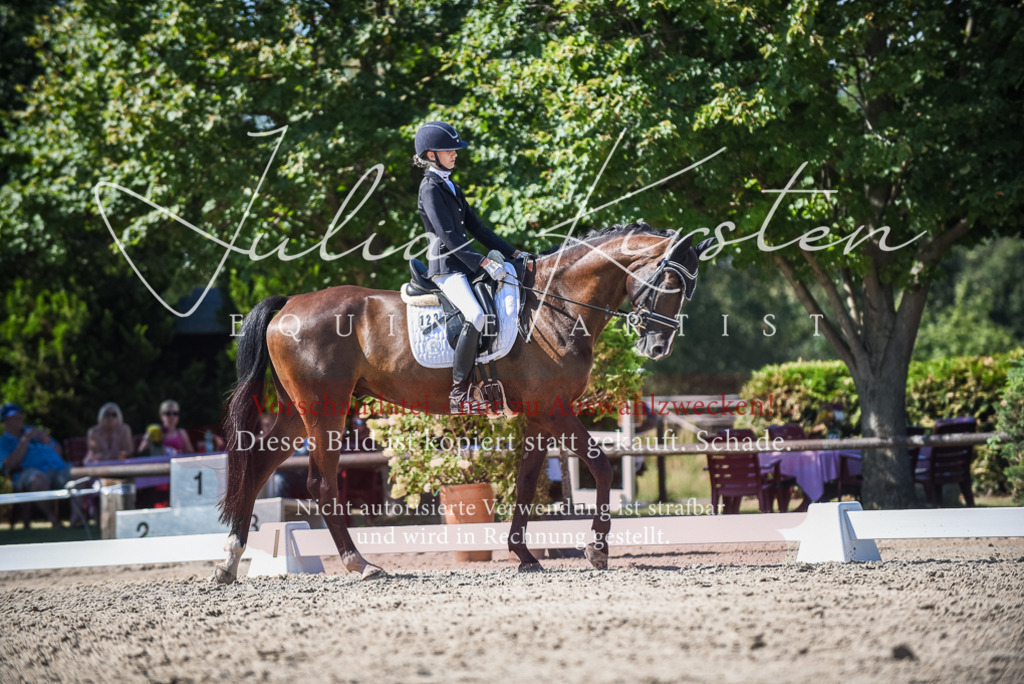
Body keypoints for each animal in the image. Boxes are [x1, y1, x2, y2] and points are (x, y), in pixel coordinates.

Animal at [215, 221, 716, 583]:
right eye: (670, 281)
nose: (657, 347)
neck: (558, 305)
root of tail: (288, 306)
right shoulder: (555, 409)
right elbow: (601, 465)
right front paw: (597, 549)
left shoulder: (539, 414)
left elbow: (525, 481)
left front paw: (524, 554)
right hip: (326, 411)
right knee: (320, 485)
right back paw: (361, 565)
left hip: (297, 413)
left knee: (257, 468)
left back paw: (230, 563)